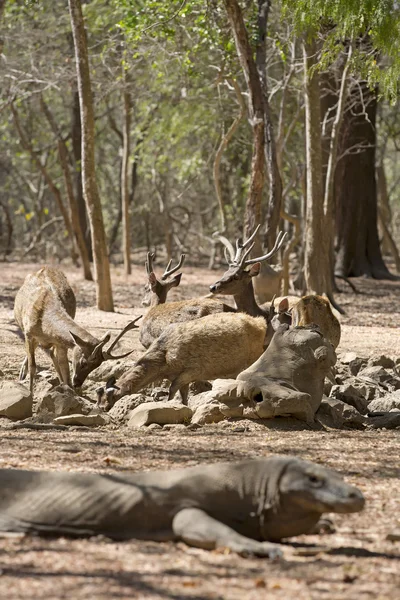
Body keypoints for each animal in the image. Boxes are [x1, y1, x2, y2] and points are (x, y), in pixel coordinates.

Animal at [13, 264, 141, 392]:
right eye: (83, 362)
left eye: (96, 366)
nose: (78, 384)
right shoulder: (29, 334)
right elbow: (33, 367)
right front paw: (30, 392)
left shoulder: (60, 343)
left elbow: (64, 368)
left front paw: (69, 390)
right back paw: (22, 374)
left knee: (52, 355)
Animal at [97, 310, 268, 408]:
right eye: (98, 397)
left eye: (109, 396)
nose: (101, 408)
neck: (165, 364)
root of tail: (262, 323)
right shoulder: (181, 377)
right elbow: (183, 394)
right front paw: (185, 408)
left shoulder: (194, 370)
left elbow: (172, 390)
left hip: (255, 356)